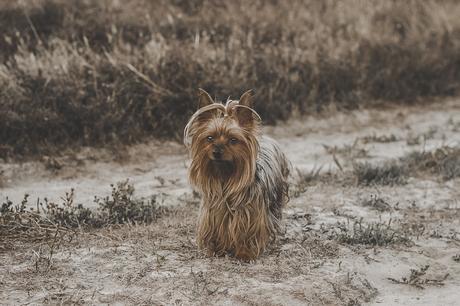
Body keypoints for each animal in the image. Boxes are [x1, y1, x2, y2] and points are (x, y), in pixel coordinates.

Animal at [182, 88, 288, 260]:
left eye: (233, 140)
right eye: (209, 138)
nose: (217, 152)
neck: (225, 176)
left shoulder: (252, 214)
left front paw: (245, 253)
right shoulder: (213, 213)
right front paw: (216, 250)